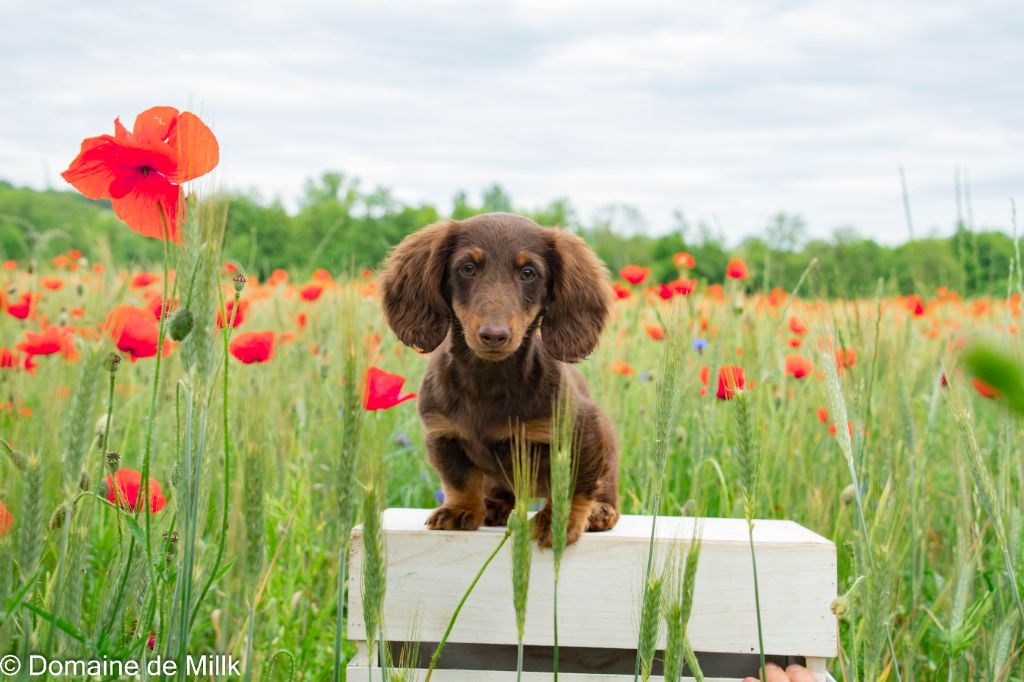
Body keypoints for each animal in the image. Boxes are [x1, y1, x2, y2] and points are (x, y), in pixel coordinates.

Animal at [380, 209, 618, 544]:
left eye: (528, 273)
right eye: (468, 268)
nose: (494, 335)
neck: (488, 380)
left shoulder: (582, 432)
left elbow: (572, 485)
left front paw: (556, 522)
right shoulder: (443, 434)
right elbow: (458, 478)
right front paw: (460, 510)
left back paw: (600, 511)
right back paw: (493, 505)